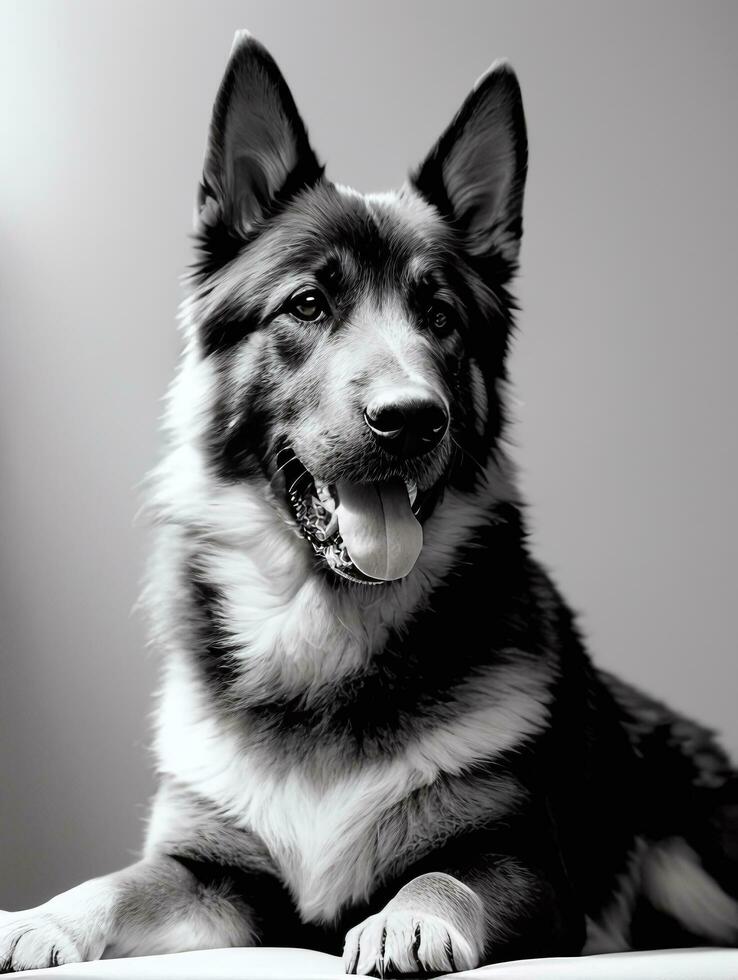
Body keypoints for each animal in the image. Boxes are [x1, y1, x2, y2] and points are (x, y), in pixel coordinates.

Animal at [1, 26, 736, 976]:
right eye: (309, 303)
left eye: (441, 317)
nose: (412, 419)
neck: (324, 632)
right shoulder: (215, 875)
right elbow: (121, 882)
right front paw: (43, 917)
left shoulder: (528, 872)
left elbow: (443, 878)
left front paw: (407, 919)